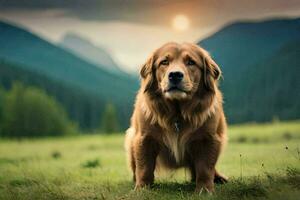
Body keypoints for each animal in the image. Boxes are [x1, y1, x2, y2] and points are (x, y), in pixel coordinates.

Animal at [125, 42, 227, 194]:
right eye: (164, 62)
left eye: (191, 62)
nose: (175, 75)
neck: (177, 114)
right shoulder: (144, 138)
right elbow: (144, 168)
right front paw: (142, 189)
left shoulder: (209, 138)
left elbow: (205, 168)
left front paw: (204, 190)